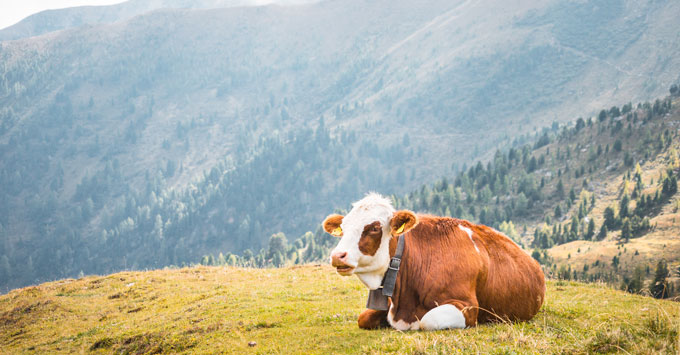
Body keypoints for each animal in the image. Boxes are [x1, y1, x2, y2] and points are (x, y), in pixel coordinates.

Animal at [324, 195, 548, 330]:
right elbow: (363, 318)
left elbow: (427, 320)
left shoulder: (468, 307)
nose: (337, 255)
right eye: (343, 227)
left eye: (374, 228)